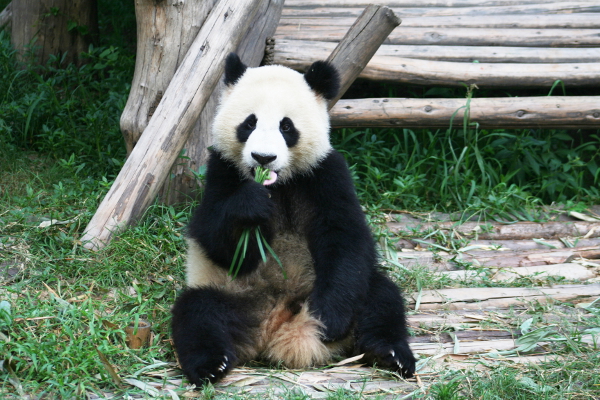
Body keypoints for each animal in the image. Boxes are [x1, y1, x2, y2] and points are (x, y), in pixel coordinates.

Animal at [169, 52, 414, 384]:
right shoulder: (221, 171)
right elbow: (214, 238)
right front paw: (252, 205)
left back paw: (390, 354)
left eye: (286, 126)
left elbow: (345, 238)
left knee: (381, 297)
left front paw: (329, 320)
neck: (279, 184)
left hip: (342, 291)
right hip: (234, 296)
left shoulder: (326, 175)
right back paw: (210, 366)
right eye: (249, 123)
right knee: (197, 313)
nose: (263, 158)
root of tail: (276, 325)